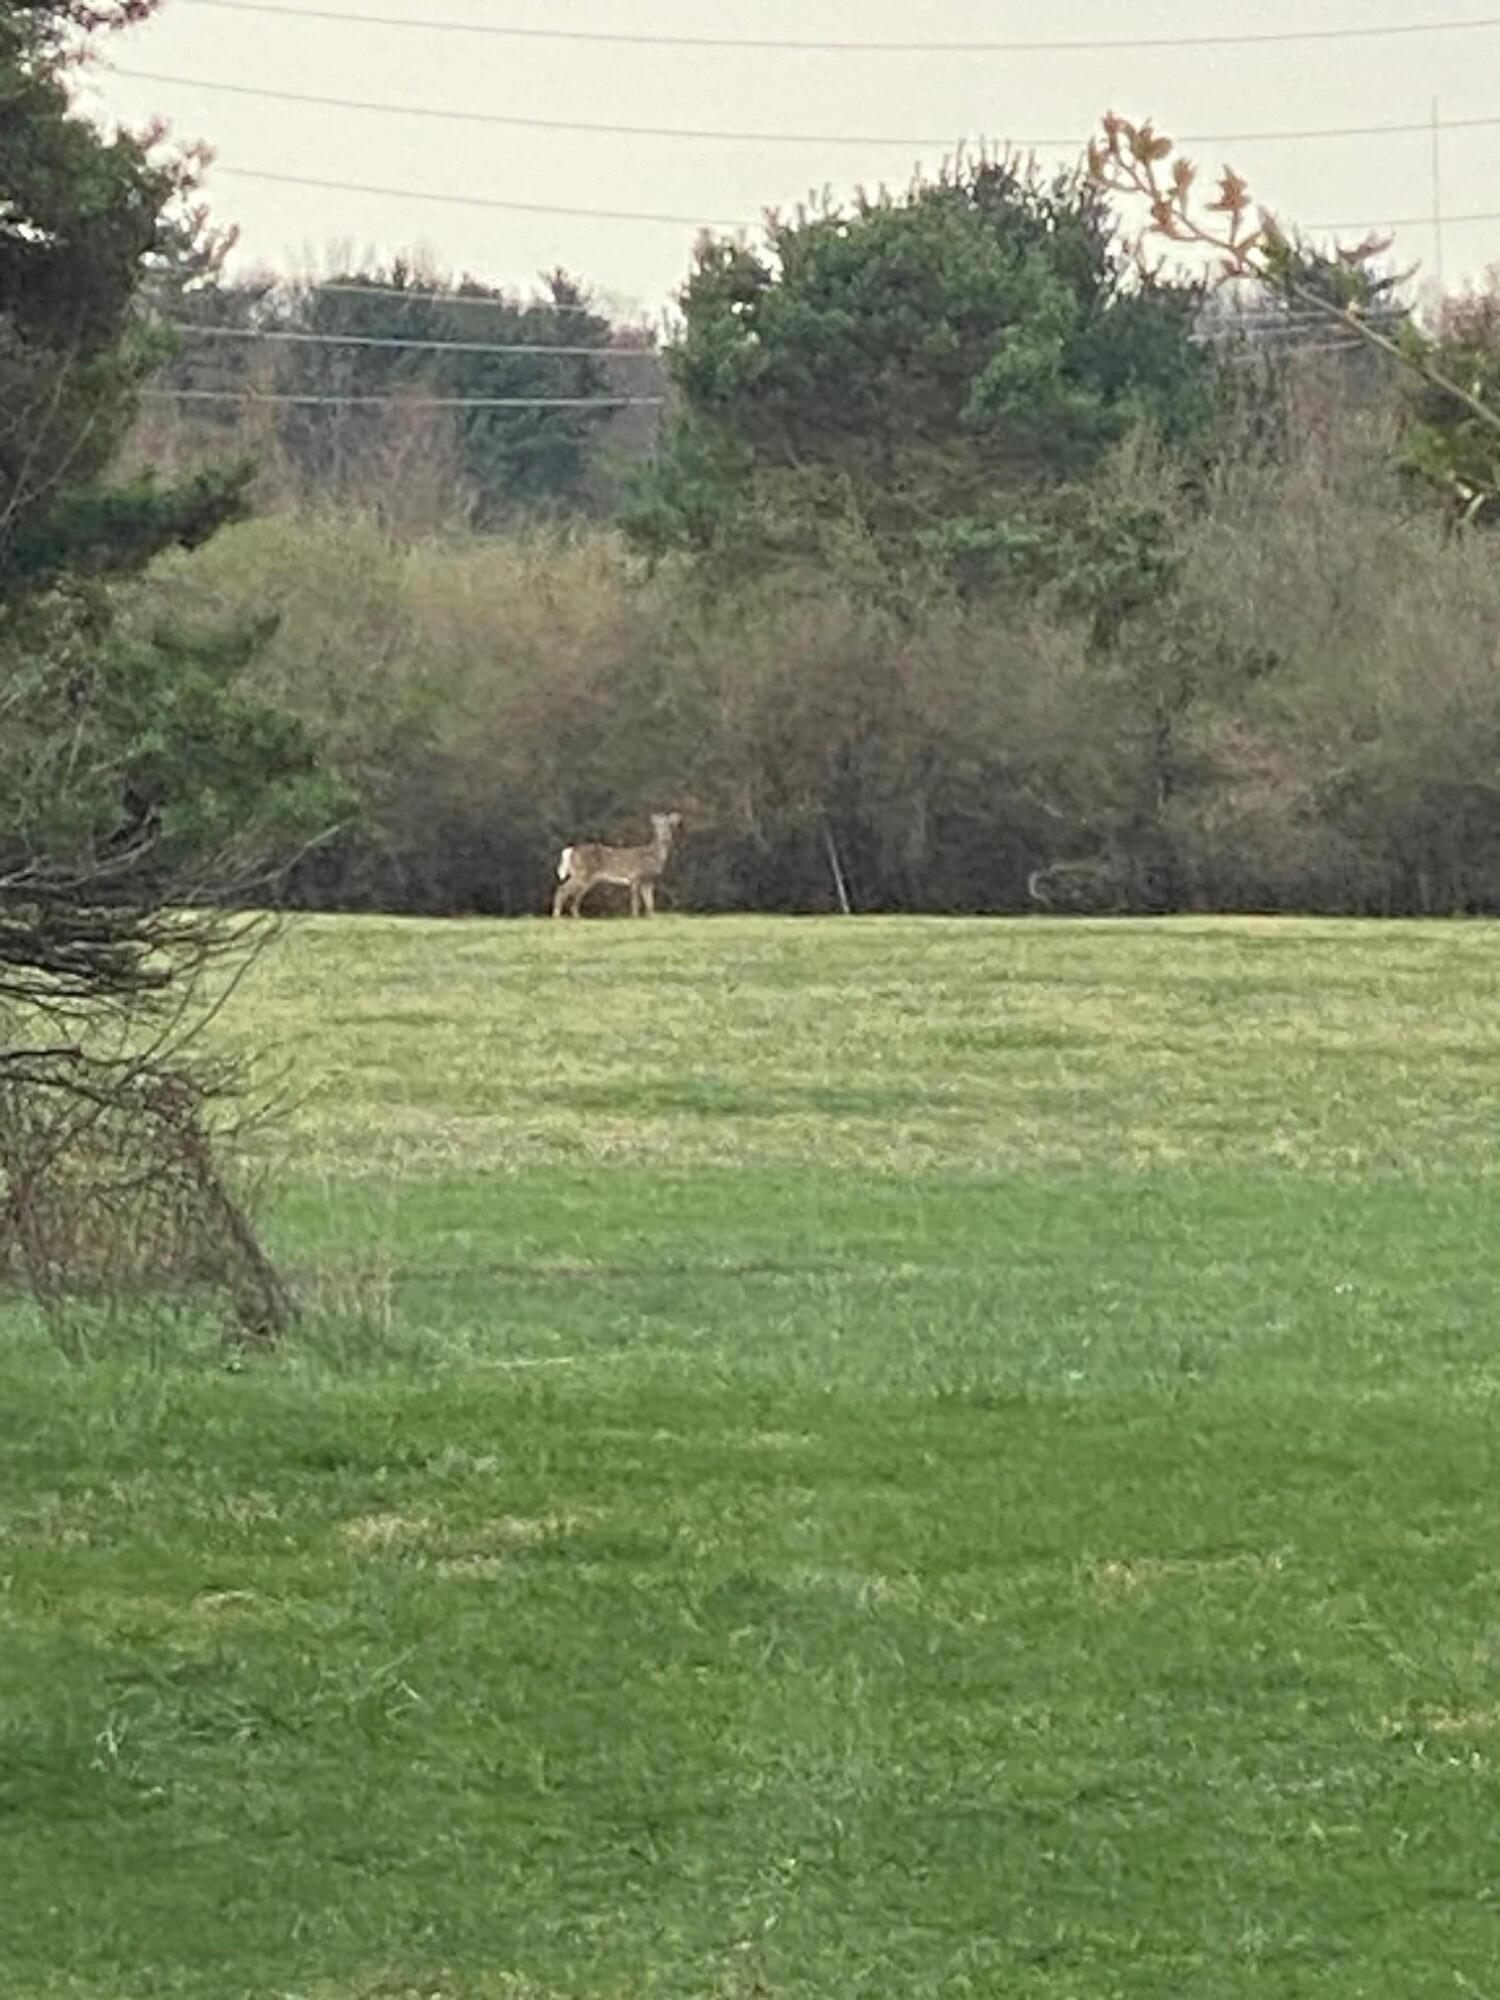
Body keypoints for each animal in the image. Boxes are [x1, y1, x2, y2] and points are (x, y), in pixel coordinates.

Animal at [552, 811, 683, 918]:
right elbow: (635, 902)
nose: (665, 837)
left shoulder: (648, 880)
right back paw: (556, 915)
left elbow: (650, 902)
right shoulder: (635, 876)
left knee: (574, 896)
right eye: (657, 826)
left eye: (670, 825)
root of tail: (569, 851)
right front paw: (634, 917)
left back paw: (576, 916)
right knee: (562, 889)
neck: (653, 856)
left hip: (588, 879)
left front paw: (651, 917)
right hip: (581, 874)